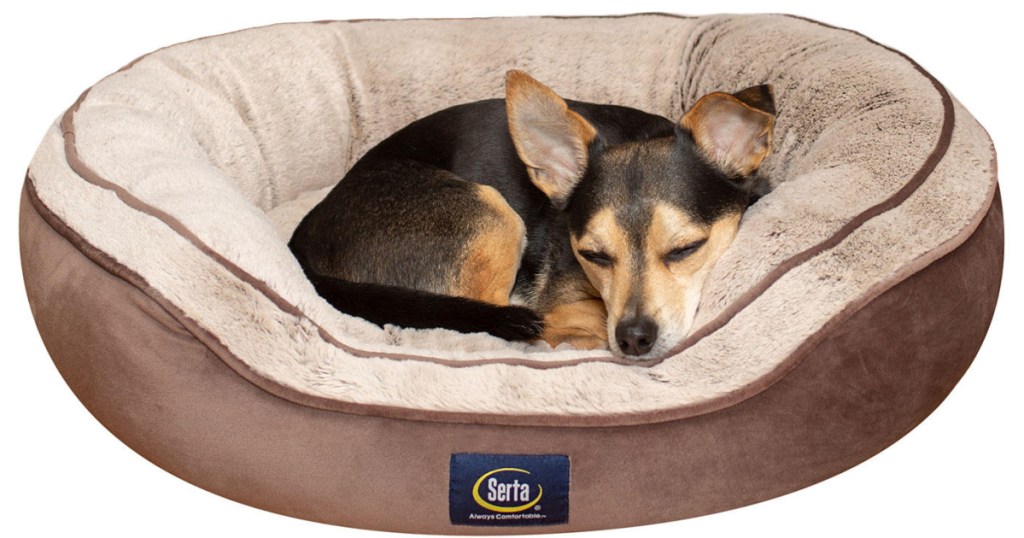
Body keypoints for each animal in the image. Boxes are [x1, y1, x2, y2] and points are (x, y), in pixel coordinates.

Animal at [290, 70, 774, 356]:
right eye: (593, 256)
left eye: (686, 249)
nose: (633, 338)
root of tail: (305, 234)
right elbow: (571, 315)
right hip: (492, 217)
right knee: (501, 320)